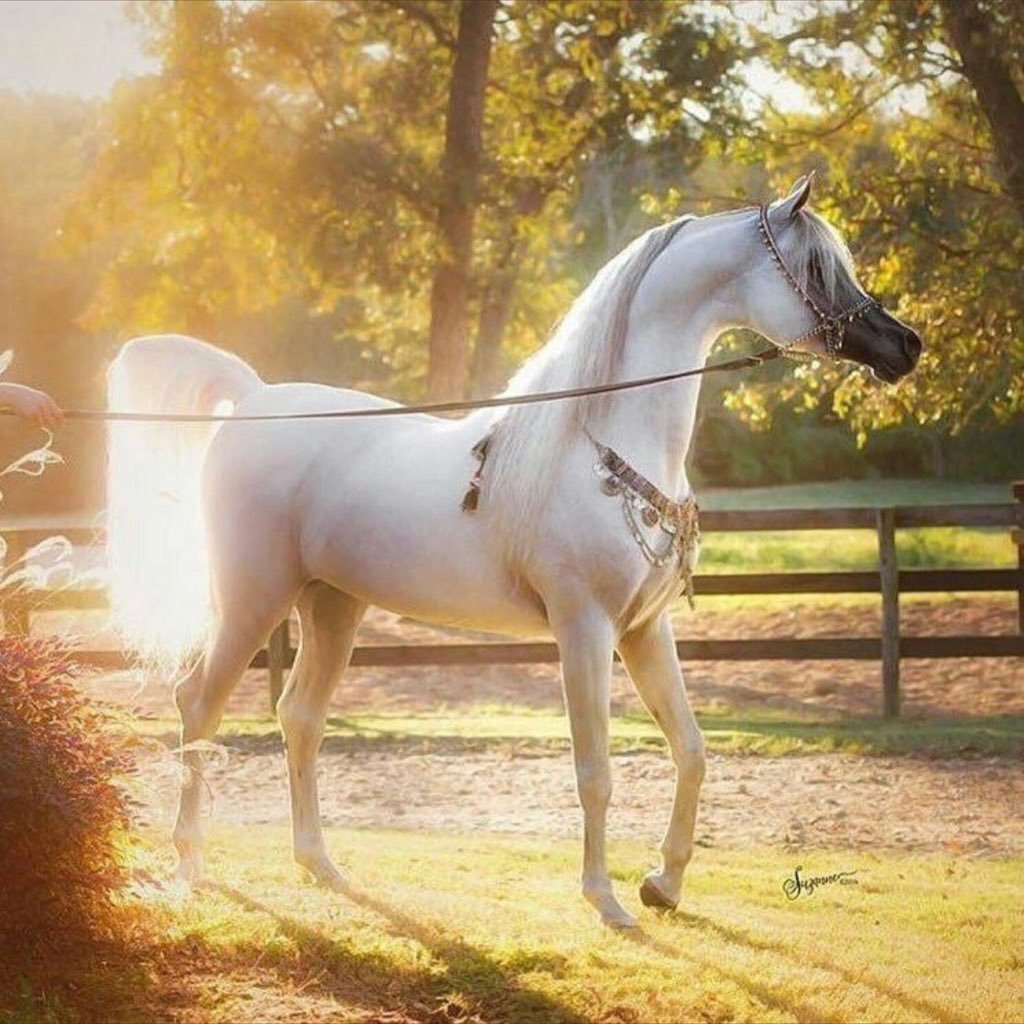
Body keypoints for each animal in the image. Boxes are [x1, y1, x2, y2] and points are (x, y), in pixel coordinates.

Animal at [105, 176, 921, 929]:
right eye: (814, 267)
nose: (904, 345)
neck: (604, 442)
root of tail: (253, 398)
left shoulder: (642, 629)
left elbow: (690, 749)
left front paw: (663, 884)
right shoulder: (584, 630)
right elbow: (594, 770)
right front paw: (605, 900)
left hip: (332, 607)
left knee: (299, 717)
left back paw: (320, 865)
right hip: (253, 600)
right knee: (198, 703)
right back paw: (191, 862)